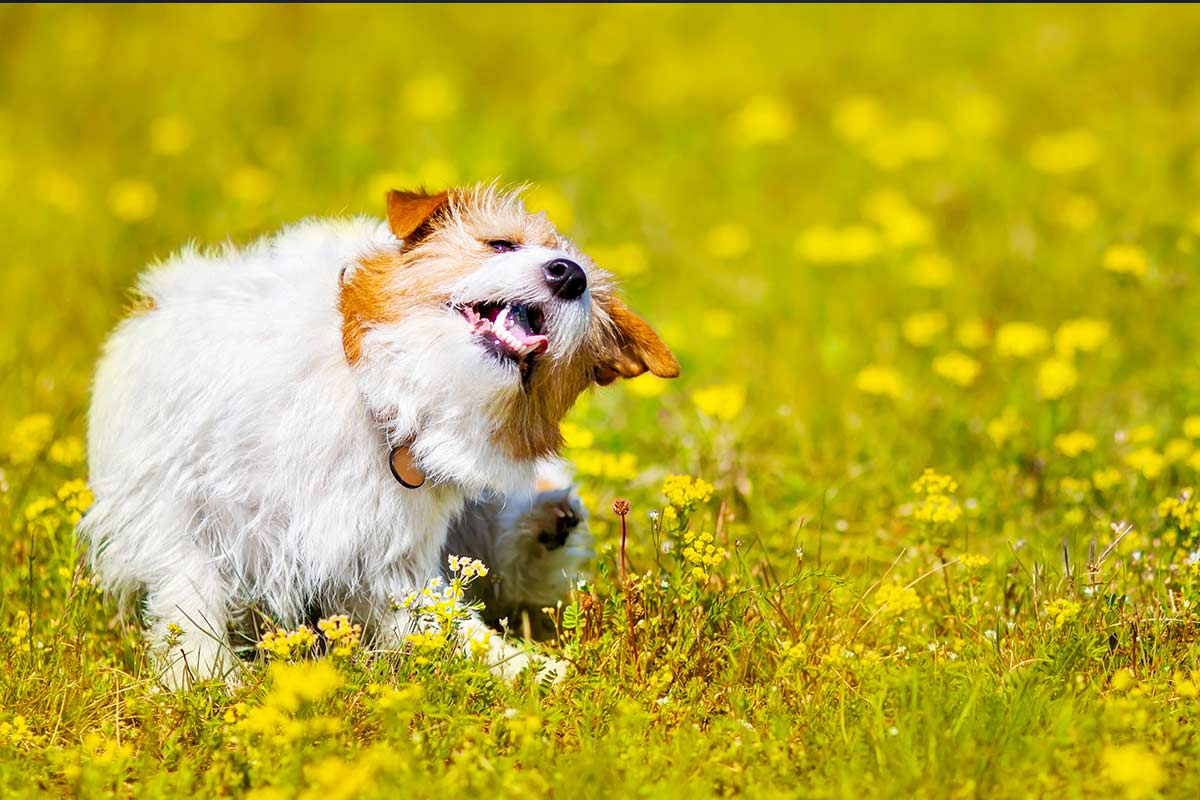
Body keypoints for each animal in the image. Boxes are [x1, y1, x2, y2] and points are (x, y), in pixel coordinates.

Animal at [84, 184, 681, 686]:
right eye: (501, 244)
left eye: (585, 286)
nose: (570, 275)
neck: (393, 403)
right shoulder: (183, 497)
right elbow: (191, 586)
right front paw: (204, 675)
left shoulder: (392, 568)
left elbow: (452, 627)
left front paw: (532, 671)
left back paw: (546, 523)